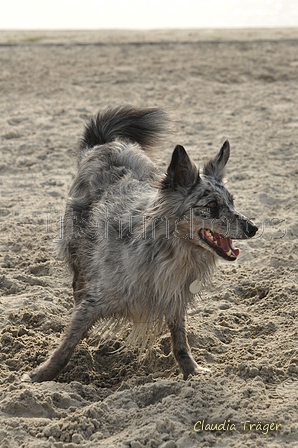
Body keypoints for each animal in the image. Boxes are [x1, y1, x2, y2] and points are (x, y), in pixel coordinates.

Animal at [30, 107, 258, 384]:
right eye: (212, 206)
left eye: (232, 202)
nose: (253, 228)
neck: (168, 252)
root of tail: (104, 144)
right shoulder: (96, 298)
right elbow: (68, 341)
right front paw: (41, 374)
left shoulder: (174, 297)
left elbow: (180, 340)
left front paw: (191, 371)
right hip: (79, 253)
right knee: (77, 288)